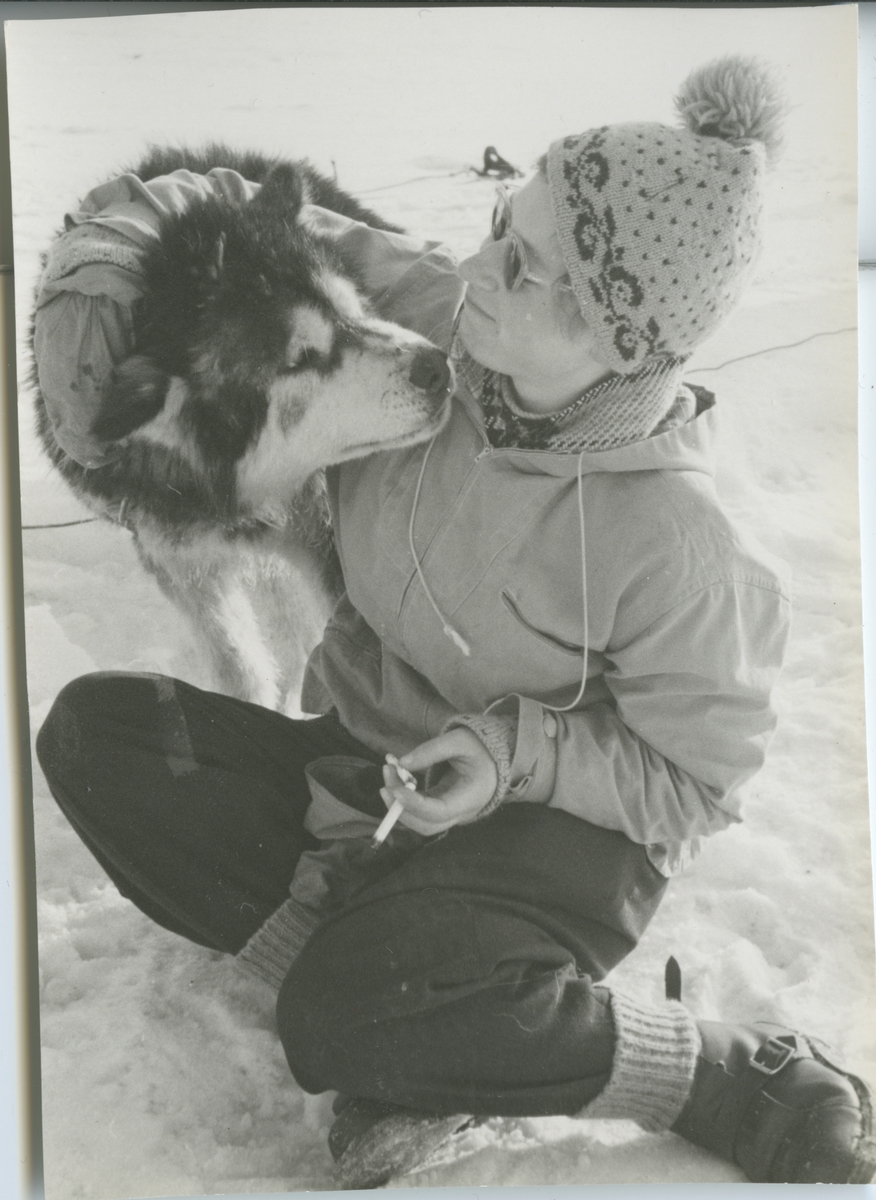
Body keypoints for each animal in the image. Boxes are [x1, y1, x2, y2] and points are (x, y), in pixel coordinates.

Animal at [33, 148, 451, 710]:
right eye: (300, 360)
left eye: (356, 309)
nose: (438, 367)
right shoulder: (181, 556)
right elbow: (237, 665)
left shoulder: (324, 532)